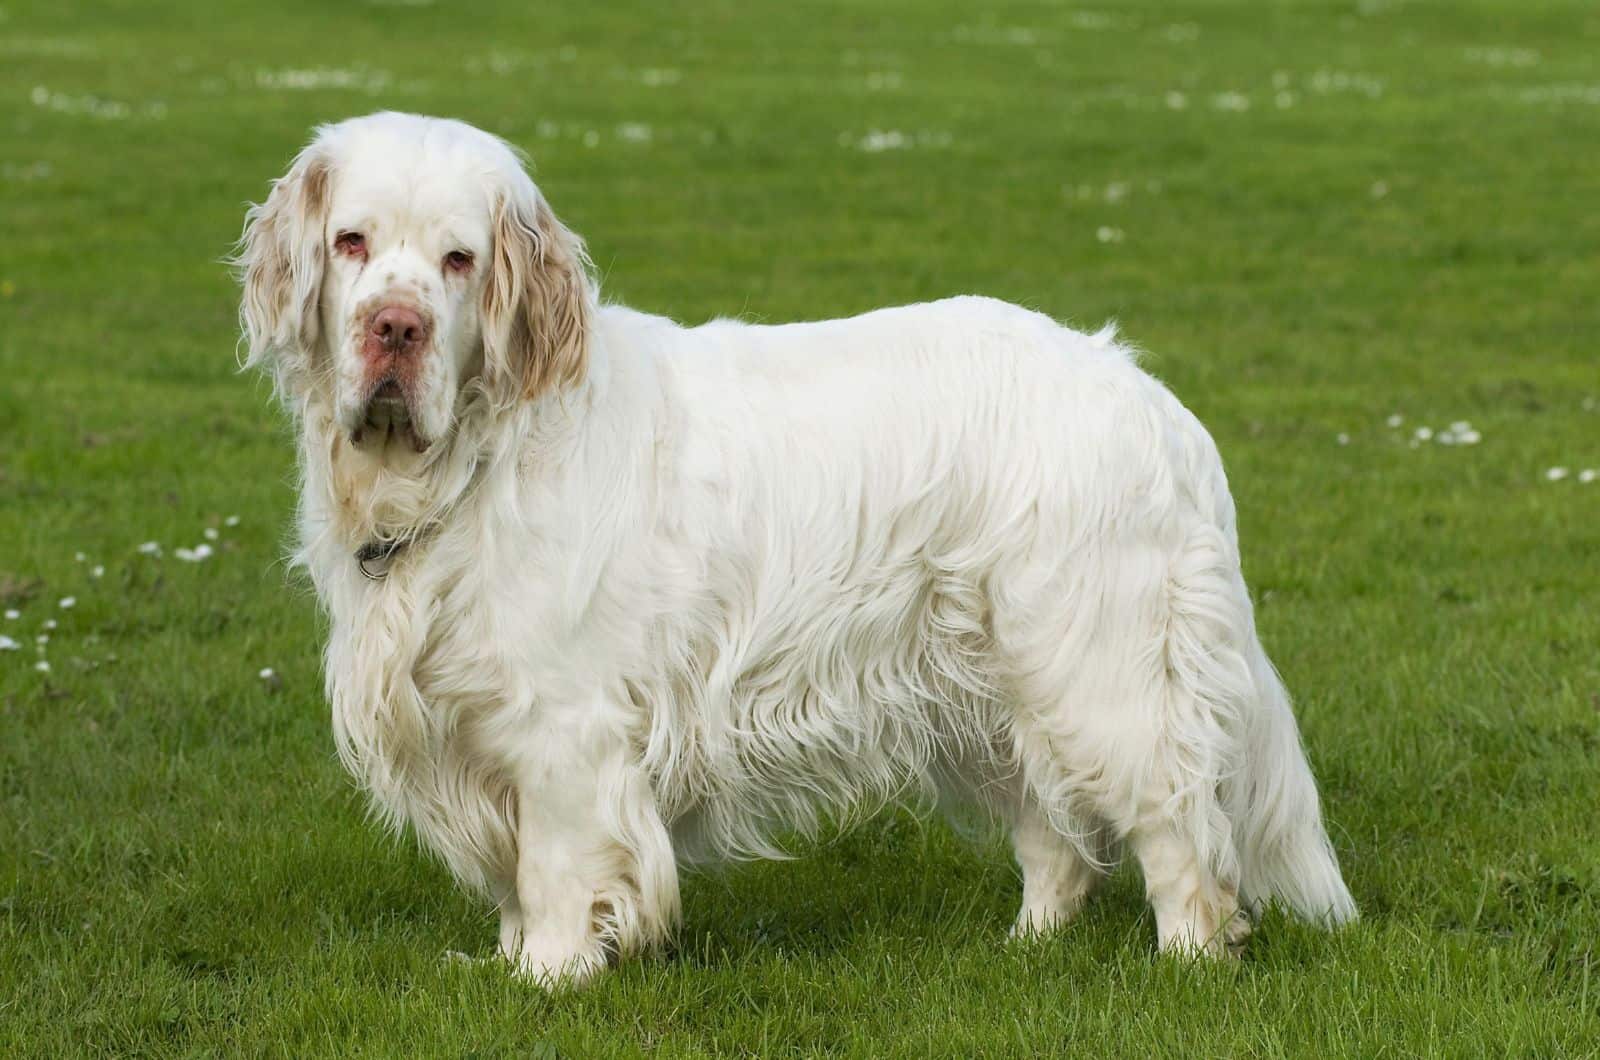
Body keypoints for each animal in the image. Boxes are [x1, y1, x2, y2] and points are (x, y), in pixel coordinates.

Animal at [236, 109, 1356, 986]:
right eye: (351, 242)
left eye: (459, 260)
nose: (395, 328)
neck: (471, 461)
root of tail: (1148, 394)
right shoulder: (471, 723)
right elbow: (515, 879)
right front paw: (507, 962)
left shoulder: (562, 727)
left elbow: (556, 867)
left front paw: (548, 977)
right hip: (988, 682)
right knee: (1054, 836)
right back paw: (1025, 947)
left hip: (1098, 671)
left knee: (1176, 825)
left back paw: (1190, 960)